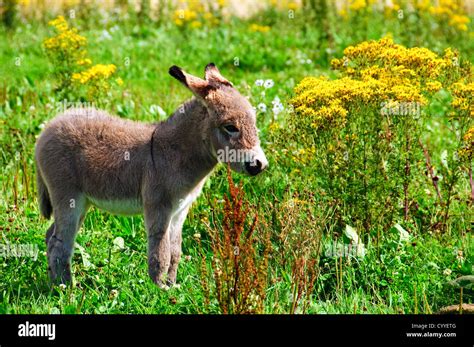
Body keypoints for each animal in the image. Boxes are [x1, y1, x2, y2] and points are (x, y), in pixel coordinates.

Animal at [35, 64, 268, 290]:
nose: (259, 165)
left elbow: (175, 251)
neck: (174, 151)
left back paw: (55, 282)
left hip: (82, 202)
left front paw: (172, 286)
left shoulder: (180, 209)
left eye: (255, 123)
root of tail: (47, 129)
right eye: (230, 127)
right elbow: (160, 251)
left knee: (50, 236)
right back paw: (66, 289)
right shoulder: (158, 205)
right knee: (59, 242)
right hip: (67, 196)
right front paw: (159, 289)